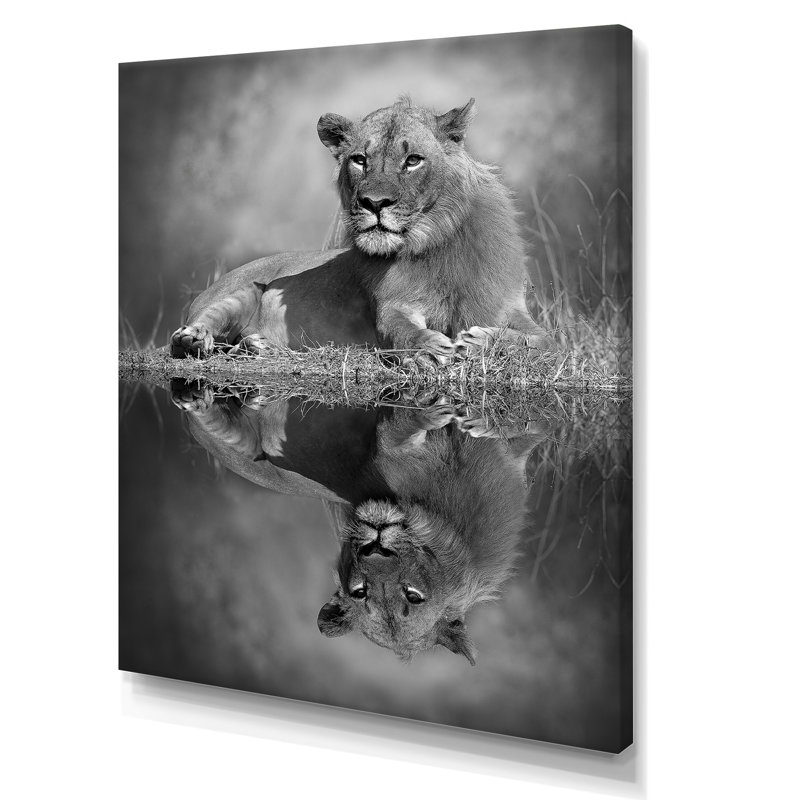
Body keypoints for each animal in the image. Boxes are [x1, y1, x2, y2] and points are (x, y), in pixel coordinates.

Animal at [170, 96, 546, 358]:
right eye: (360, 160)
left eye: (413, 160)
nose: (374, 203)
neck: (434, 241)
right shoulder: (392, 305)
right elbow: (400, 330)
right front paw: (429, 348)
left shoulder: (509, 306)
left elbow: (541, 340)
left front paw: (479, 339)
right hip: (242, 290)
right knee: (197, 330)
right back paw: (195, 339)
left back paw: (259, 346)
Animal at [171, 382, 544, 664]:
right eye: (360, 592)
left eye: (413, 596)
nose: (374, 547)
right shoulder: (390, 454)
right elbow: (396, 432)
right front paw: (429, 409)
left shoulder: (506, 458)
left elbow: (526, 428)